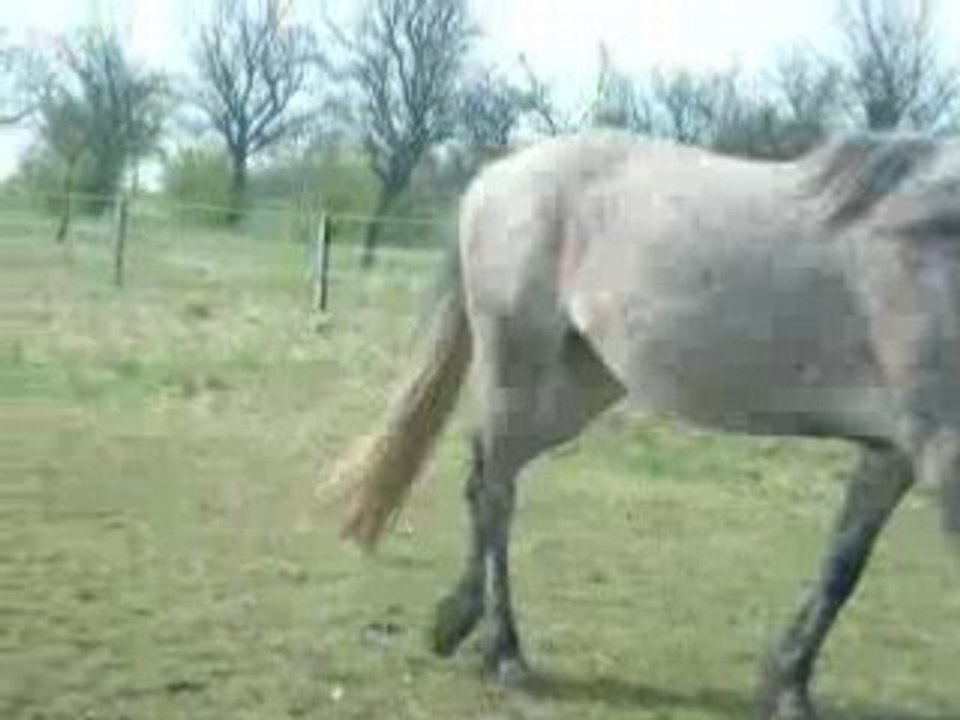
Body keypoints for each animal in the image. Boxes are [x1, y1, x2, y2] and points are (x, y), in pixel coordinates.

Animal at [325, 130, 960, 720]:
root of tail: (494, 178)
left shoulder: (893, 452)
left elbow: (842, 566)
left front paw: (787, 687)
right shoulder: (939, 451)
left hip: (579, 386)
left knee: (485, 476)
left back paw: (456, 625)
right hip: (518, 367)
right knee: (495, 493)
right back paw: (503, 653)